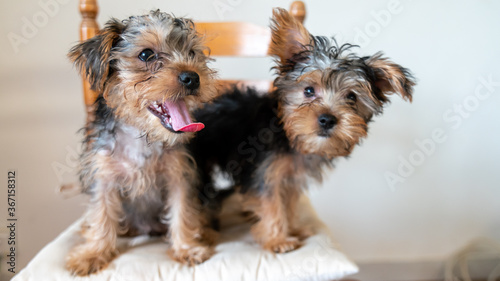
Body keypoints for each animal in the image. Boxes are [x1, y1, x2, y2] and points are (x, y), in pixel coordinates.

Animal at [65, 11, 219, 276]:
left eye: (192, 53)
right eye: (146, 55)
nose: (193, 77)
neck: (142, 134)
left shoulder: (179, 175)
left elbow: (182, 210)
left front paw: (187, 248)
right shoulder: (103, 176)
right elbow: (101, 213)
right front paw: (93, 253)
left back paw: (205, 233)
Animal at [189, 8, 416, 253]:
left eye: (352, 97)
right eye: (308, 90)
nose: (327, 119)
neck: (287, 133)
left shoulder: (289, 176)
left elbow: (287, 203)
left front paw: (293, 229)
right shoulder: (264, 173)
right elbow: (271, 204)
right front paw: (278, 239)